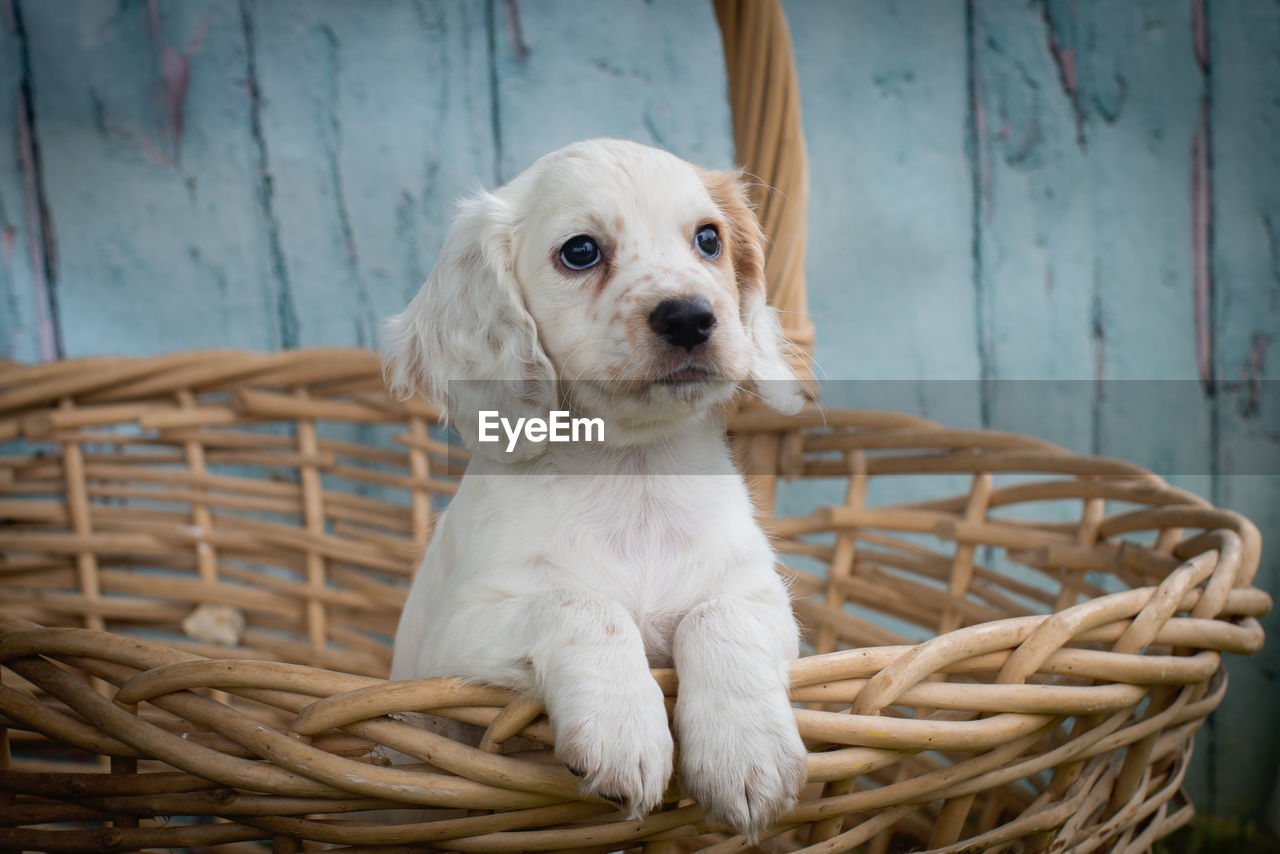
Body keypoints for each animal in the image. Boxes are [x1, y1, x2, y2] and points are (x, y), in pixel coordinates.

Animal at [378, 136, 803, 839]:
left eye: (709, 239)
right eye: (580, 251)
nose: (690, 317)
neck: (634, 476)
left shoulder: (764, 601)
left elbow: (718, 613)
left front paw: (748, 752)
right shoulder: (453, 644)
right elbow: (582, 604)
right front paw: (625, 731)